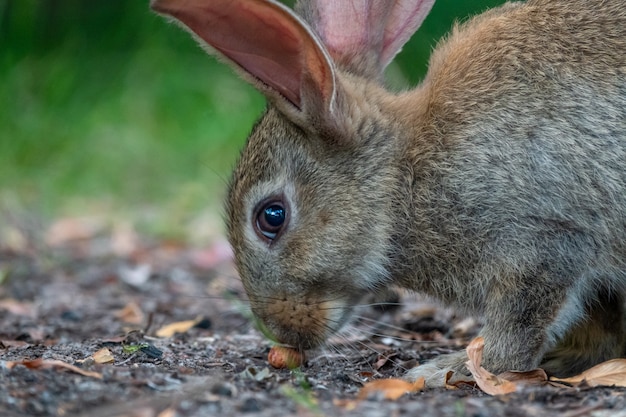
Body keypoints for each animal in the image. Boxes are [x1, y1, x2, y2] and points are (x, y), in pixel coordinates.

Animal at [151, 0, 624, 386]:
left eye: (271, 217)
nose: (280, 330)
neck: (403, 178)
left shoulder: (543, 244)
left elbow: (517, 332)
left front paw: (449, 370)